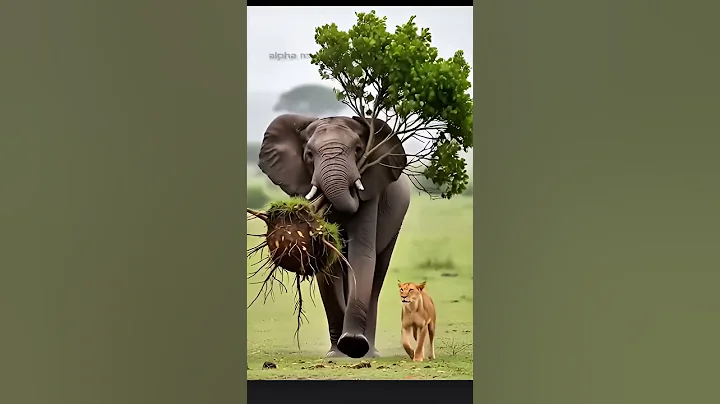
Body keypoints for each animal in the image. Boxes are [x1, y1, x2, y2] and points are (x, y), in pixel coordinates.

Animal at [257, 114, 411, 359]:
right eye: (309, 155)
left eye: (358, 150)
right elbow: (327, 263)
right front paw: (338, 354)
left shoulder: (371, 194)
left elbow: (362, 253)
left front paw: (353, 344)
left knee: (378, 270)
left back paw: (369, 352)